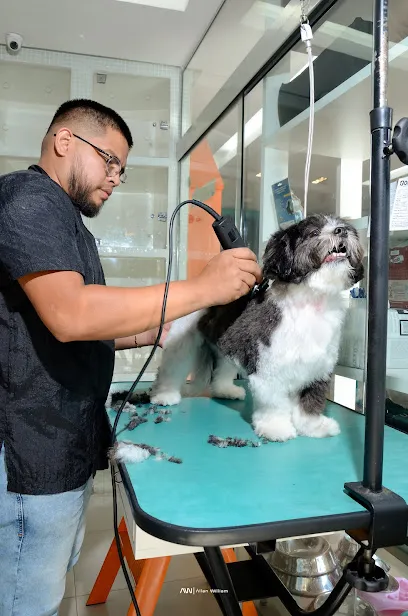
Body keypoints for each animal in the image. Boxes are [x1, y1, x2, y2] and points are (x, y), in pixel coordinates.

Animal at [149, 214, 364, 440]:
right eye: (314, 233)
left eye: (345, 227)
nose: (341, 231)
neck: (311, 303)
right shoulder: (267, 366)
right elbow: (274, 403)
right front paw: (276, 427)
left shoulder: (318, 369)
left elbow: (310, 402)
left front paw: (313, 427)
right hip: (182, 342)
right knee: (172, 368)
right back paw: (164, 395)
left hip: (229, 343)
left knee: (222, 369)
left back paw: (225, 390)